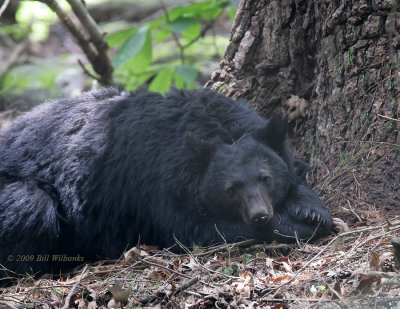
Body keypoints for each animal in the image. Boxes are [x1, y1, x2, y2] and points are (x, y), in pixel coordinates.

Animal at [0, 88, 332, 278]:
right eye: (231, 189)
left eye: (266, 178)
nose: (260, 215)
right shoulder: (156, 185)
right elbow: (192, 230)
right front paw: (296, 225)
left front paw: (311, 209)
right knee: (30, 204)